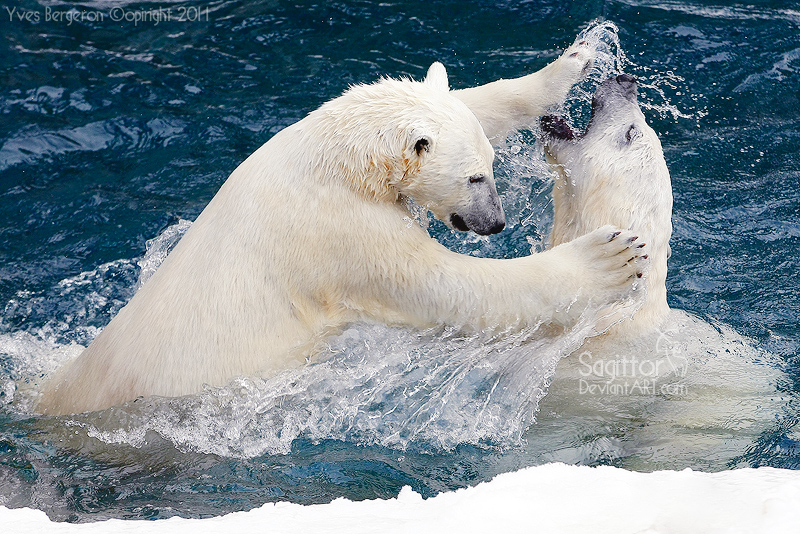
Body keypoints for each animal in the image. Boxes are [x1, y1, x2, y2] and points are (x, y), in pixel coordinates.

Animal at [39, 43, 648, 418]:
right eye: (475, 176)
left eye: (493, 164)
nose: (494, 222)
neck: (335, 163)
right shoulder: (339, 235)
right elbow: (447, 286)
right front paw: (610, 257)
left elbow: (476, 100)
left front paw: (577, 58)